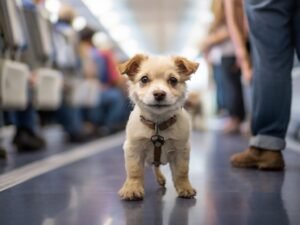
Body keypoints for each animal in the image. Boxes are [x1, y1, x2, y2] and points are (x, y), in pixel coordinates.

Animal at [118, 54, 199, 200]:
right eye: (144, 79)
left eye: (173, 80)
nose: (159, 94)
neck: (158, 124)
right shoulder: (133, 149)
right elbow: (134, 171)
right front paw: (132, 188)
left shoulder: (181, 150)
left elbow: (182, 171)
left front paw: (185, 187)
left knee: (156, 166)